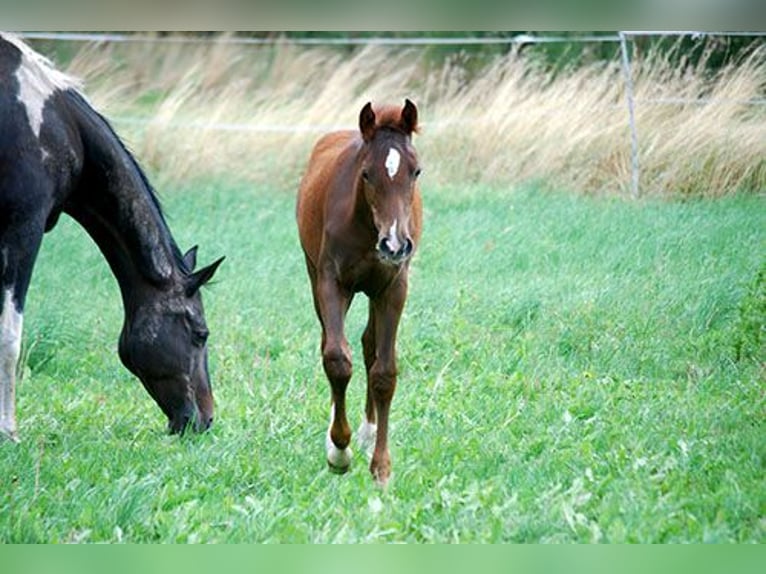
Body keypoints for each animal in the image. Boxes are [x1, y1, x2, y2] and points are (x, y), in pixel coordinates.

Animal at [0, 33, 224, 441]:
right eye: (200, 333)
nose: (204, 420)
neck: (57, 126)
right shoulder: (22, 228)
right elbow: (10, 335)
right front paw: (8, 431)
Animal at [296, 99, 422, 486]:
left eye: (416, 172)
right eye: (366, 174)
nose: (394, 244)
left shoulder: (394, 288)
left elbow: (384, 372)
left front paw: (381, 467)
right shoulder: (331, 282)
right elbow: (337, 359)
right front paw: (338, 451)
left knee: (369, 345)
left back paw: (368, 432)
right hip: (319, 280)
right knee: (332, 342)